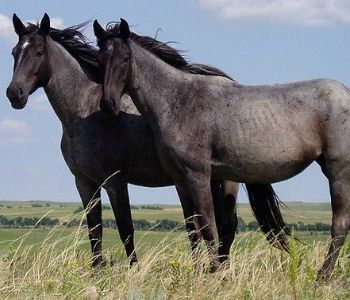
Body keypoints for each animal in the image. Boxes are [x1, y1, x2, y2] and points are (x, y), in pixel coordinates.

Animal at [5, 13, 242, 268]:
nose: (14, 93)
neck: (84, 113)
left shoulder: (115, 182)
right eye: (14, 52)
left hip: (226, 181)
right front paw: (96, 271)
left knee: (225, 227)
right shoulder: (84, 183)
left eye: (38, 52)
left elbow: (126, 228)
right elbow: (95, 231)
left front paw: (133, 270)